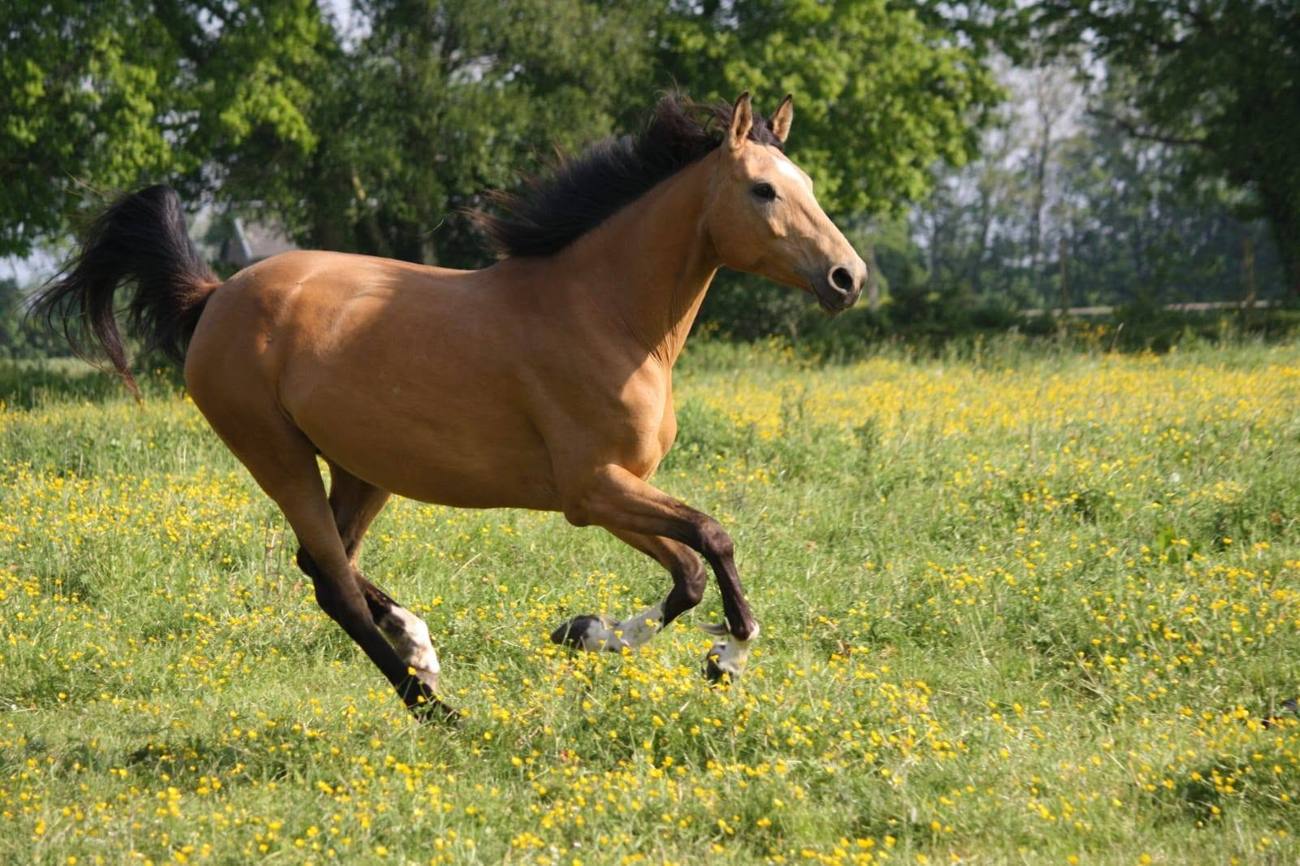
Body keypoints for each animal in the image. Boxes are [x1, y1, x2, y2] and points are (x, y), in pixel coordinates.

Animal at [36, 92, 866, 719]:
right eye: (763, 189)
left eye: (808, 182)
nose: (847, 278)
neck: (606, 315)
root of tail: (214, 296)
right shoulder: (593, 489)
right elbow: (714, 539)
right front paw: (726, 656)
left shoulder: (611, 492)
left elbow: (688, 572)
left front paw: (585, 632)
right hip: (278, 457)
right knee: (333, 583)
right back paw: (436, 707)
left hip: (363, 469)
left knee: (326, 564)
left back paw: (420, 647)